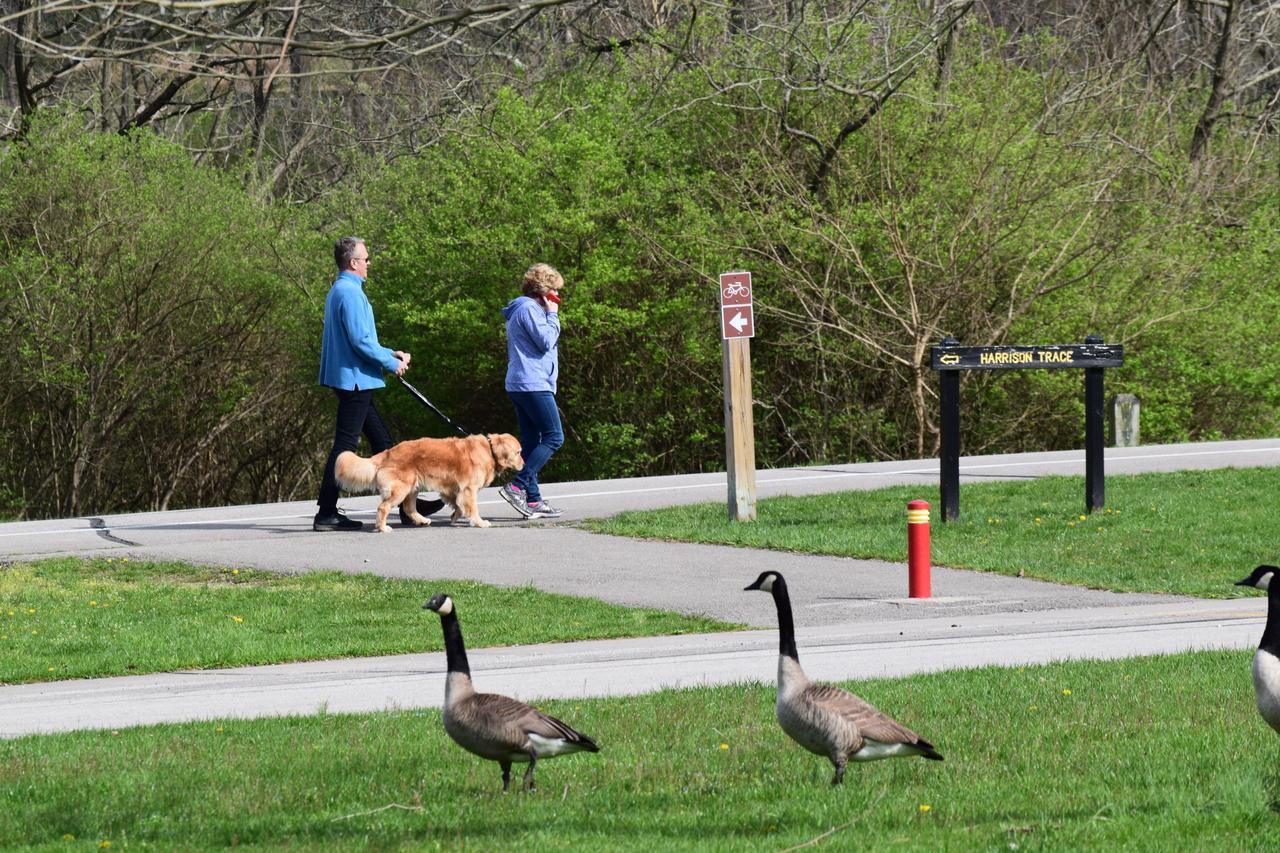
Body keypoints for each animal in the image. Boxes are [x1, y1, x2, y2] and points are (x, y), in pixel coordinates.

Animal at [337, 432, 527, 532]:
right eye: (518, 452)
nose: (524, 465)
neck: (489, 450)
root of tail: (387, 453)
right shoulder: (469, 489)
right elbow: (472, 508)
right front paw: (480, 522)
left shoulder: (454, 490)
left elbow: (458, 506)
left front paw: (454, 517)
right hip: (401, 488)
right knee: (384, 507)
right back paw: (383, 527)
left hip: (412, 488)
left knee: (409, 508)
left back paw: (421, 520)